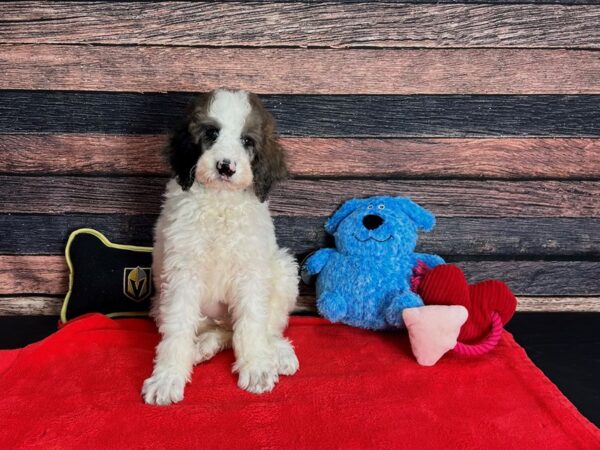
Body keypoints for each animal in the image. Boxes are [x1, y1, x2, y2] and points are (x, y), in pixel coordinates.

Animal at [141, 88, 300, 404]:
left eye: (247, 141)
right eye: (211, 133)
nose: (226, 167)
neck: (220, 200)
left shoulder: (251, 271)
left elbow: (251, 323)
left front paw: (256, 367)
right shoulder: (181, 274)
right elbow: (178, 328)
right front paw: (167, 377)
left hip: (283, 269)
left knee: (263, 326)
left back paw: (278, 352)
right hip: (160, 302)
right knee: (218, 331)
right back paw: (201, 347)